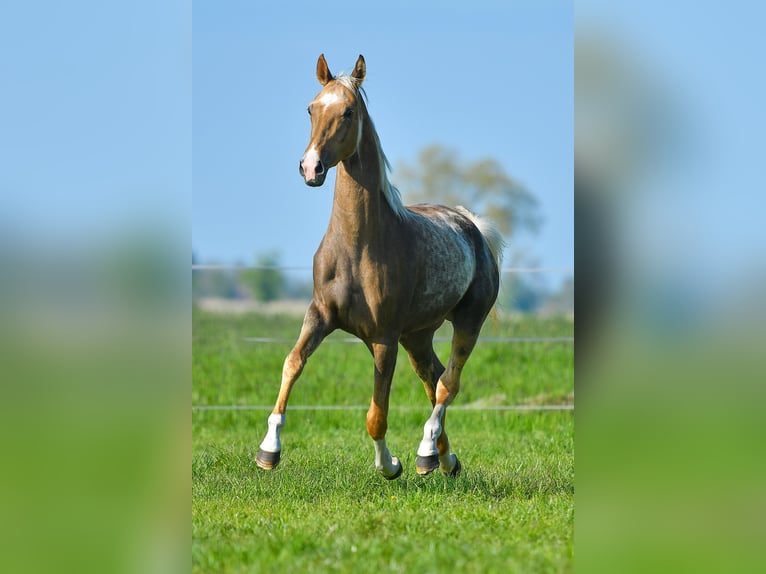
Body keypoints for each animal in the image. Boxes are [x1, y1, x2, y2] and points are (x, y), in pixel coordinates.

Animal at [256, 54, 504, 480]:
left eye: (349, 111)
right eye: (311, 108)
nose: (311, 168)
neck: (358, 247)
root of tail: (473, 227)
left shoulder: (384, 338)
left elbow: (376, 415)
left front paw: (390, 465)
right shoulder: (319, 315)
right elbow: (292, 363)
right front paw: (268, 450)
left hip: (467, 324)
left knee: (447, 384)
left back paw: (425, 452)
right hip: (417, 336)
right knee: (433, 377)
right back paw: (445, 460)